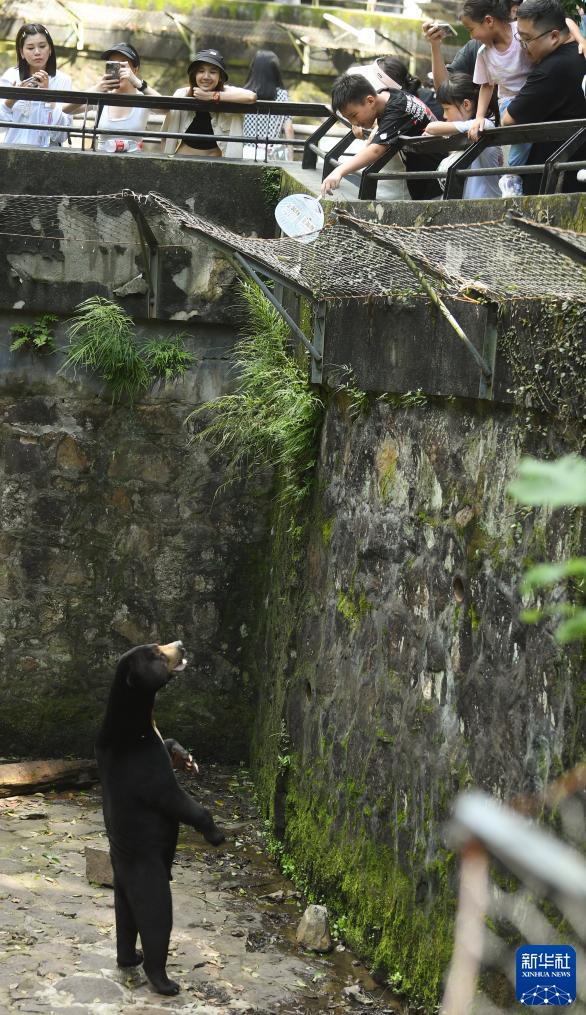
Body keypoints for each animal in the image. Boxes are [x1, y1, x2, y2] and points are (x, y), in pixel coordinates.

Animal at [94, 637, 225, 994]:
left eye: (159, 643)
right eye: (155, 653)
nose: (180, 644)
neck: (136, 722)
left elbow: (168, 742)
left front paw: (187, 758)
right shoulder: (142, 765)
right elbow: (174, 799)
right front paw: (216, 834)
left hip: (122, 889)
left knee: (125, 922)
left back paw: (129, 958)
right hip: (148, 875)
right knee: (156, 922)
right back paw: (165, 982)